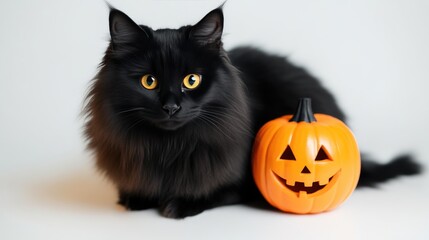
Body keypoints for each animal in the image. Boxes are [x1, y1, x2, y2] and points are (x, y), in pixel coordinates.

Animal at [83, 7, 418, 218]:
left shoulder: (240, 184)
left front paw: (178, 204)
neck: (168, 148)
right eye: (148, 81)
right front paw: (136, 198)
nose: (171, 107)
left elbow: (214, 193)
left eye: (192, 80)